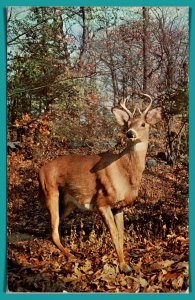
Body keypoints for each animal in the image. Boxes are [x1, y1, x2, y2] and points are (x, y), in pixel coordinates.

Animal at [39, 93, 161, 272]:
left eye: (143, 124)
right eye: (127, 124)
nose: (129, 133)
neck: (125, 173)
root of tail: (40, 170)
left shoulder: (119, 206)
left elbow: (121, 234)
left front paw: (124, 263)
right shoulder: (102, 202)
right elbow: (114, 235)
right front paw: (123, 266)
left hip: (69, 202)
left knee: (55, 227)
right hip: (50, 191)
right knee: (53, 230)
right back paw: (71, 257)